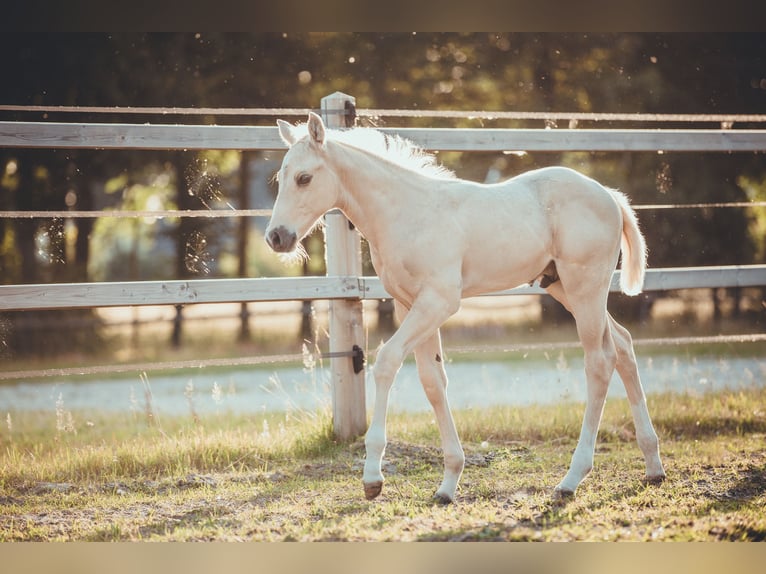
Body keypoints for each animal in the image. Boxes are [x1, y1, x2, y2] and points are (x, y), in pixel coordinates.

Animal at [265, 112, 666, 503]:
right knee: (624, 345)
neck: (406, 213)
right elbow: (432, 381)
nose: (276, 237)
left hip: (585, 289)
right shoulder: (409, 304)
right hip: (565, 288)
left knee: (600, 361)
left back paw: (571, 479)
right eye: (280, 178)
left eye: (304, 178)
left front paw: (373, 477)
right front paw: (447, 484)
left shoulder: (439, 300)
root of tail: (610, 196)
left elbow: (388, 361)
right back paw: (653, 466)